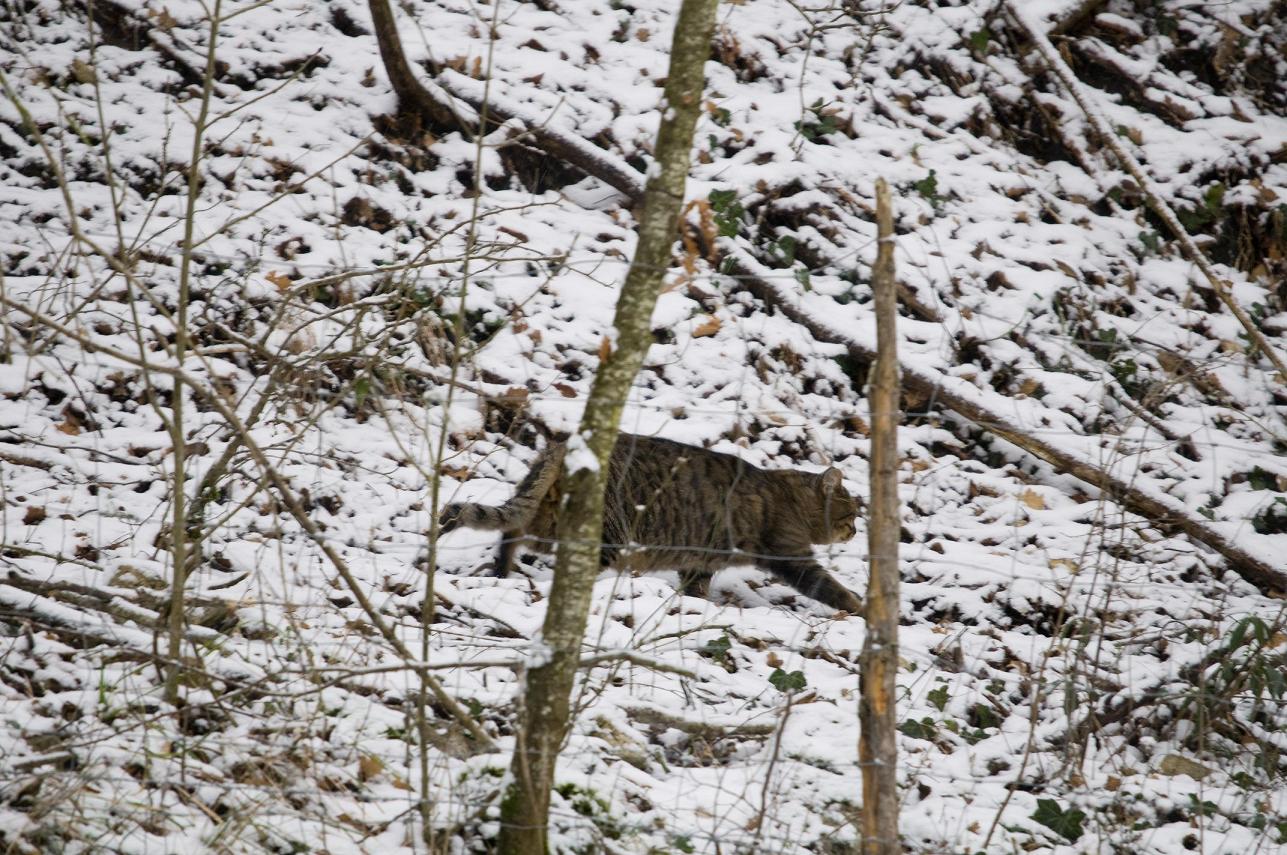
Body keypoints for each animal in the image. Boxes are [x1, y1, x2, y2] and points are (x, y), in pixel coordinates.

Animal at [442, 437, 864, 610]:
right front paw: (858, 607)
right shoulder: (790, 553)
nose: (857, 530)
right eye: (852, 514)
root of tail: (560, 445)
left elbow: (696, 589)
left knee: (509, 529)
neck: (790, 495)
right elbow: (829, 586)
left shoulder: (699, 562)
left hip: (546, 520)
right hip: (607, 534)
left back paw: (501, 571)